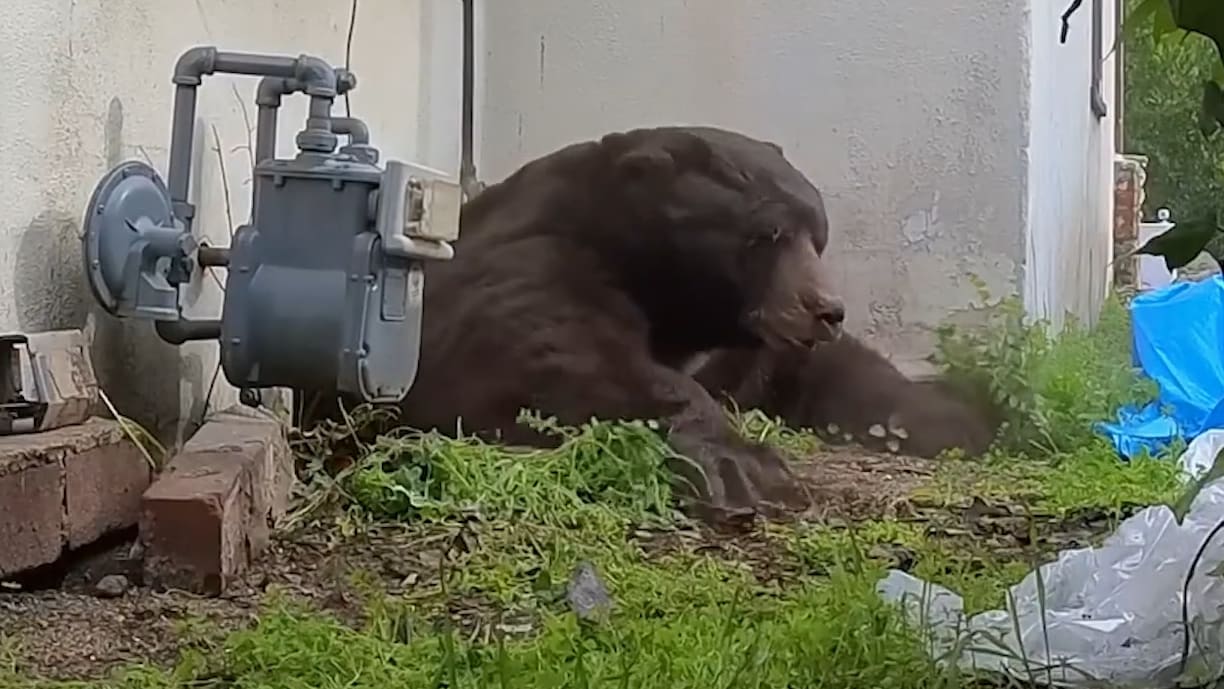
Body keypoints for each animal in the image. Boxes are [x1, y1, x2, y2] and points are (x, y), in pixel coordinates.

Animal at [394, 125, 848, 524]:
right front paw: (743, 466)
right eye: (768, 233)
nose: (827, 310)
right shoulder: (527, 265)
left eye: (818, 236)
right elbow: (558, 356)